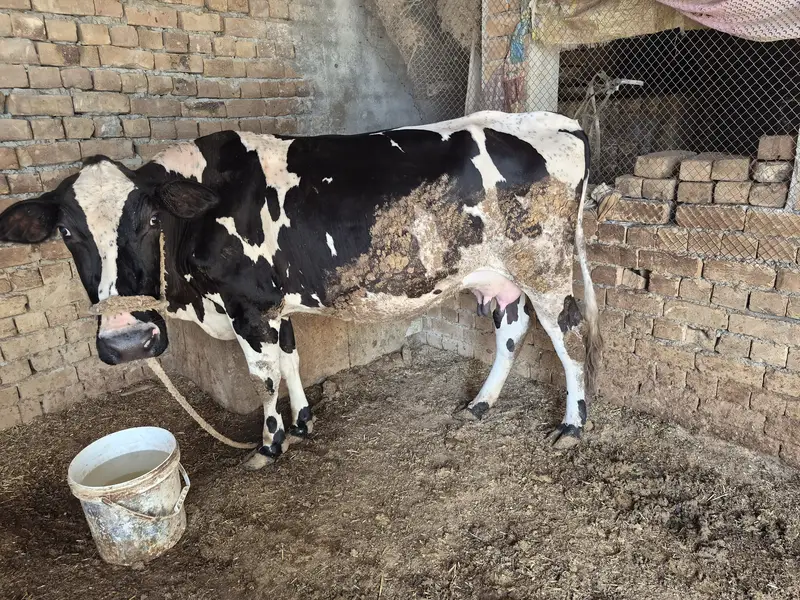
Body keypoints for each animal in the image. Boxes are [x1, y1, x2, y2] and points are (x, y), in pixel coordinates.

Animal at [0, 110, 600, 469]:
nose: (126, 341)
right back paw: (480, 404)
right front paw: (304, 422)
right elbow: (290, 359)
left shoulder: (248, 306)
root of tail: (557, 121)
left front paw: (269, 445)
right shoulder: (274, 306)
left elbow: (263, 378)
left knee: (568, 338)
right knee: (512, 329)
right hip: (503, 277)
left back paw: (572, 425)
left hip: (545, 269)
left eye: (149, 220)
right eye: (68, 232)